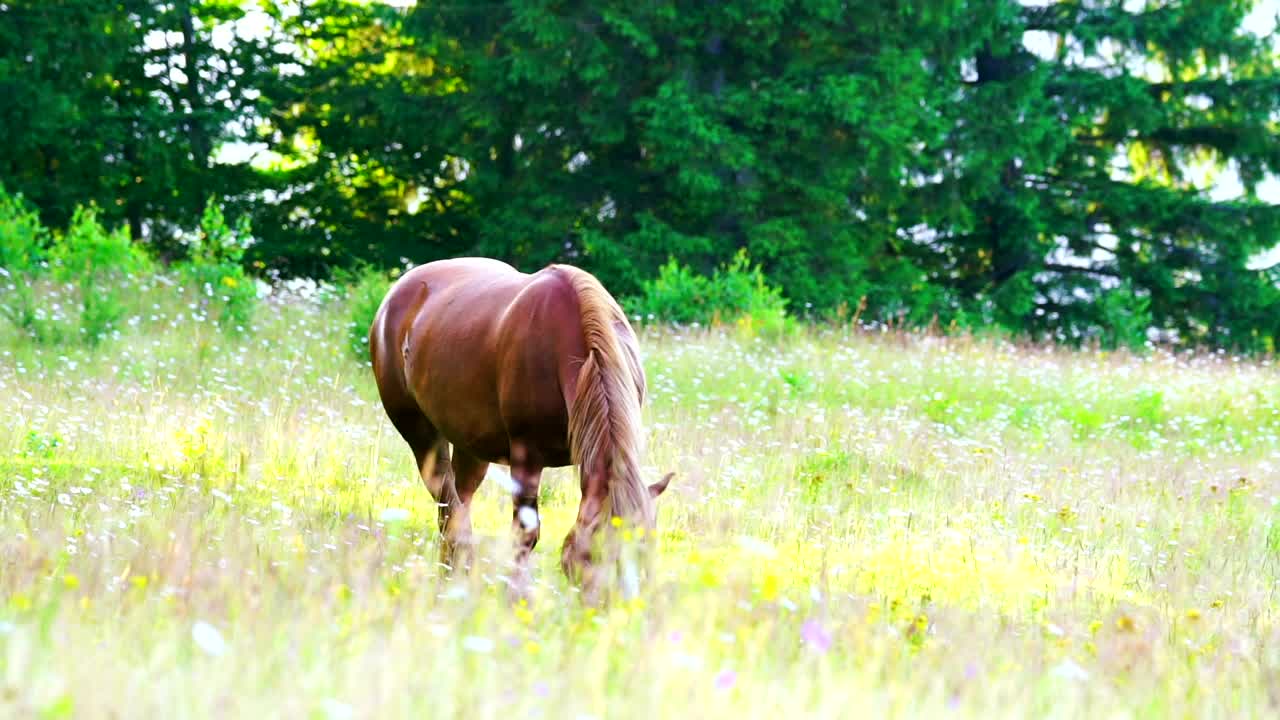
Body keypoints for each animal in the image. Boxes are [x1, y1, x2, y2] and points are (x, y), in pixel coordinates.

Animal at [368, 257, 672, 598]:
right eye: (597, 553)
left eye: (648, 549)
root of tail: (396, 295)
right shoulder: (527, 456)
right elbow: (526, 534)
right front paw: (517, 596)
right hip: (422, 436)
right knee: (448, 507)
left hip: (471, 447)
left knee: (459, 502)